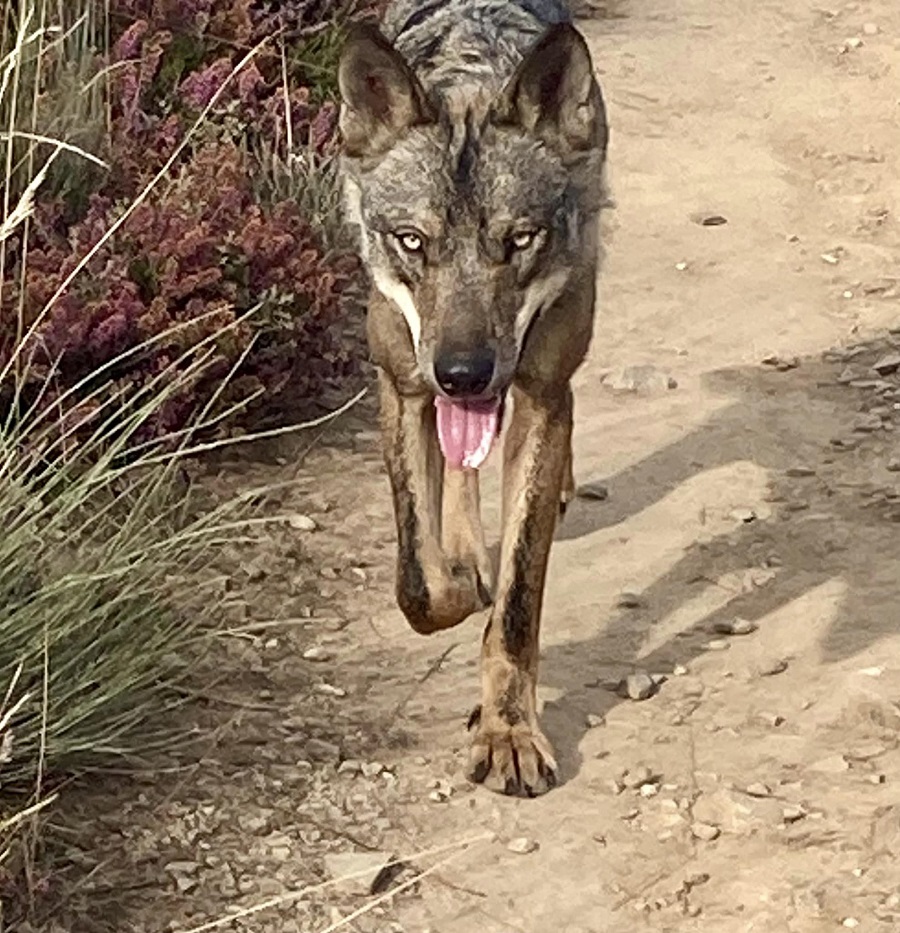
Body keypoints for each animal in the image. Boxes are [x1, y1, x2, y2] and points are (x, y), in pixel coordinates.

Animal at [340, 0, 612, 792]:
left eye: (519, 240)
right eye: (412, 240)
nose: (463, 372)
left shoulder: (543, 394)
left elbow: (518, 605)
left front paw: (508, 732)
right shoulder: (402, 383)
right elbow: (420, 584)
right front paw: (459, 579)